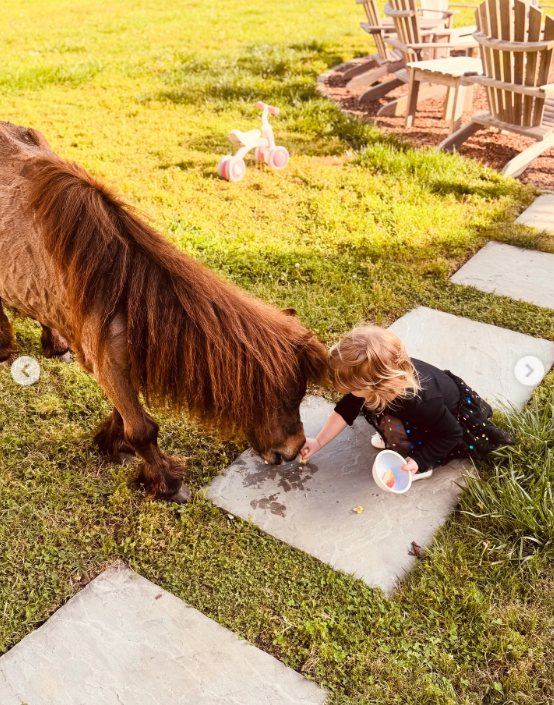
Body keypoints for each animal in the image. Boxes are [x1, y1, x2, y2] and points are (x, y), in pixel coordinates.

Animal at [0, 121, 328, 503]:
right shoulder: (107, 365)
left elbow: (124, 414)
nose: (292, 451)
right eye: (289, 398)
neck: (120, 289)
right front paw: (168, 483)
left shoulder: (113, 365)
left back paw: (54, 344)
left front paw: (113, 444)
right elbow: (142, 429)